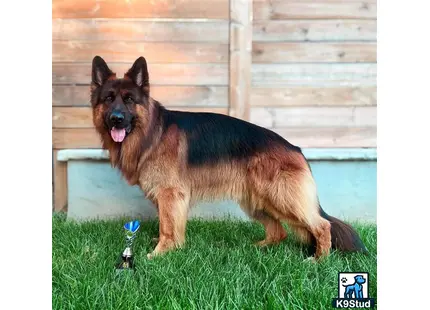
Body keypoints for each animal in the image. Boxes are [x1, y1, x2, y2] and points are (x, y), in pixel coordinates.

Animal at [90, 55, 366, 260]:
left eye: (129, 100)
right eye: (108, 99)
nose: (116, 119)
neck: (151, 133)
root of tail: (295, 148)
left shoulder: (170, 195)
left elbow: (167, 225)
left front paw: (160, 253)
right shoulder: (167, 198)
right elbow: (167, 223)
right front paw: (167, 246)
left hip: (282, 198)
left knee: (321, 225)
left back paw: (318, 259)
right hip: (257, 202)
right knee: (279, 232)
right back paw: (260, 247)